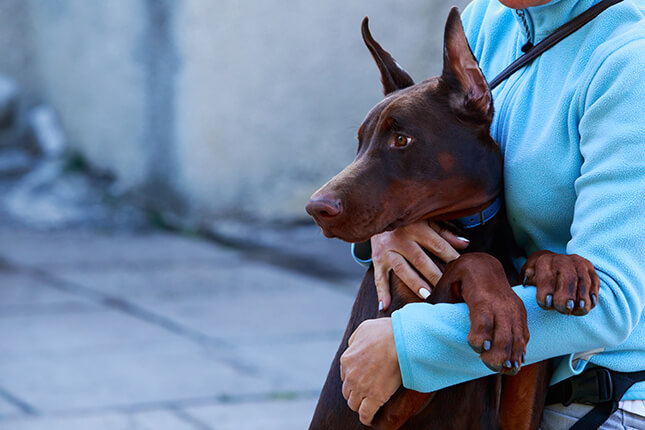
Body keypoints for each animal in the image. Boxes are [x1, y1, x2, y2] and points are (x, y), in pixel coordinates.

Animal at [304, 7, 596, 430]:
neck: (472, 228)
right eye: (360, 142)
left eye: (402, 139)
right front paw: (501, 314)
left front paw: (562, 268)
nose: (316, 208)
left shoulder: (518, 413)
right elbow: (467, 265)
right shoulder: (375, 401)